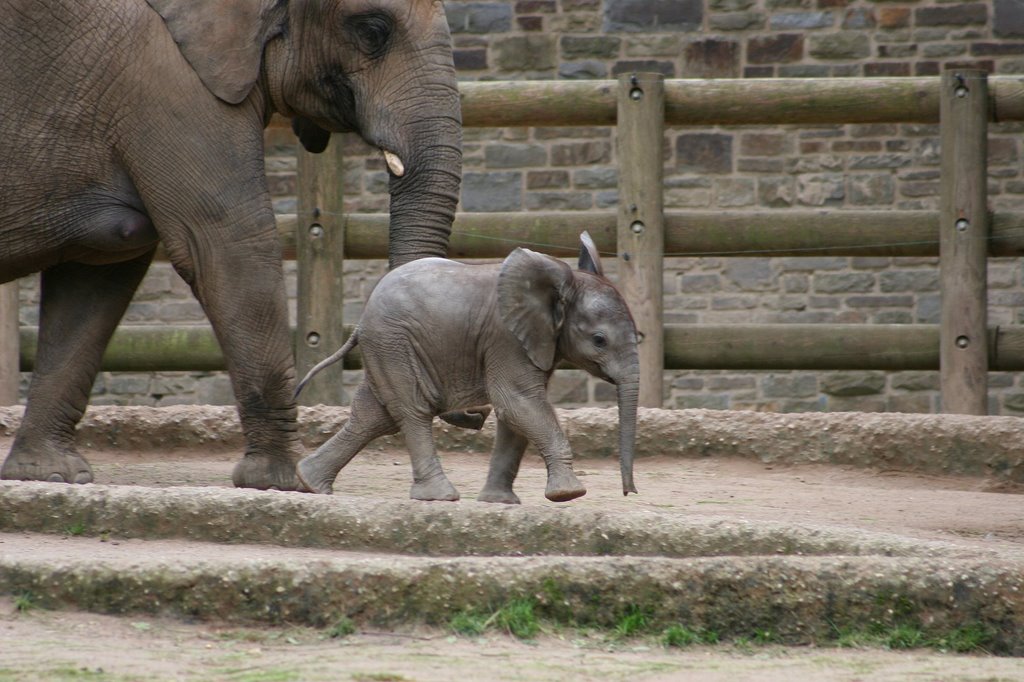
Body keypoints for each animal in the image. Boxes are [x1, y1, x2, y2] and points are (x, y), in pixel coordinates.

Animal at [0, 0, 464, 489]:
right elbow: (230, 244)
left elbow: (98, 275)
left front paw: (48, 474)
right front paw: (283, 481)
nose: (467, 417)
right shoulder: (167, 79)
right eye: (373, 30)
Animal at [292, 231, 634, 501]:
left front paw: (499, 502)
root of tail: (360, 323)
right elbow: (517, 401)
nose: (629, 492)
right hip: (393, 342)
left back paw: (310, 483)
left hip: (385, 348)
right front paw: (568, 495)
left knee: (373, 416)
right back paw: (439, 497)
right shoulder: (505, 337)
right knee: (412, 410)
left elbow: (514, 412)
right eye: (599, 340)